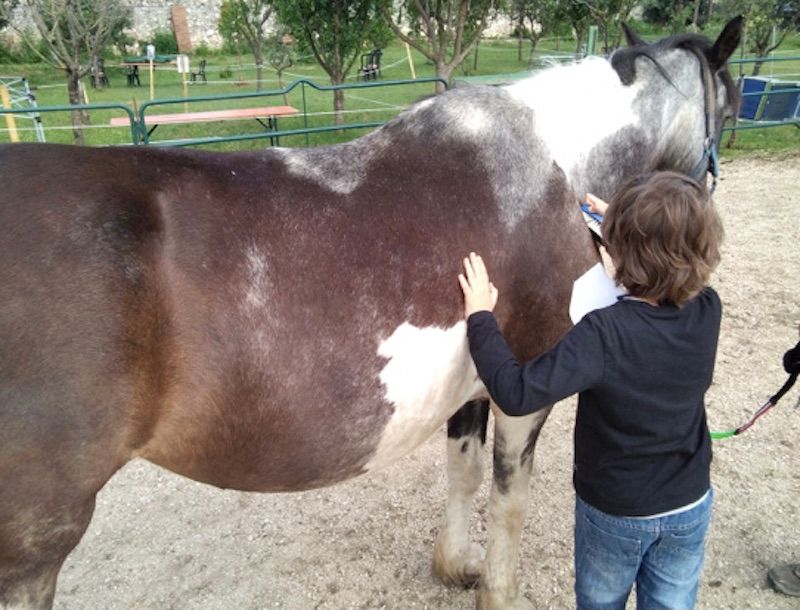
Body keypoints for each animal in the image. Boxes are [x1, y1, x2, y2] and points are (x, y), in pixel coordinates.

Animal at [0, 18, 742, 610]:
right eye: (732, 111)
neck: (550, 168)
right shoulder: (529, 385)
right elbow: (509, 497)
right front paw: (497, 590)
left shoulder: (477, 381)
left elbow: (464, 471)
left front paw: (455, 567)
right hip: (34, 545)